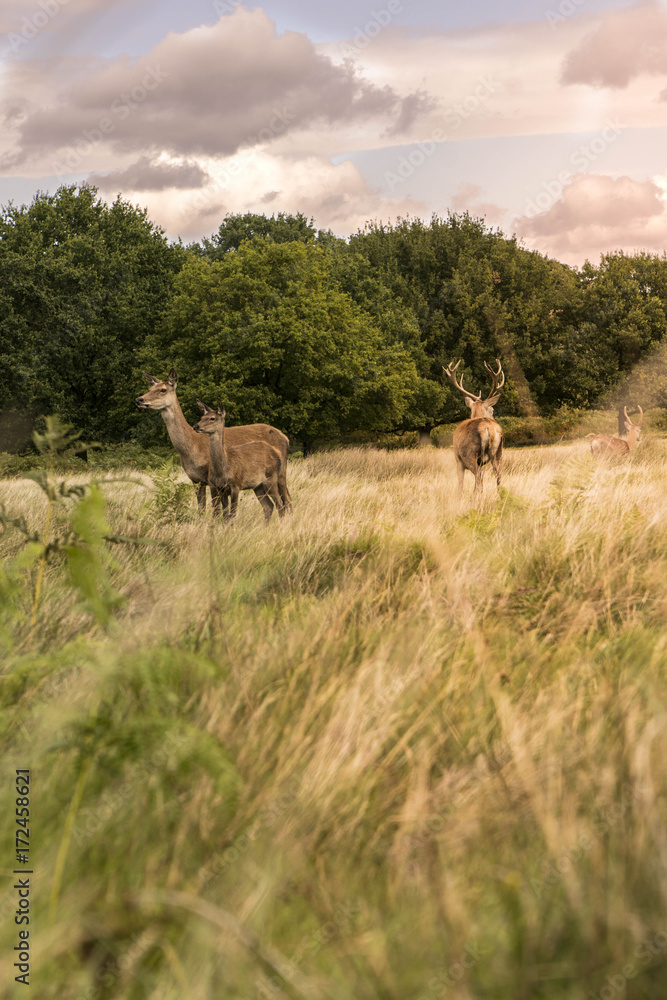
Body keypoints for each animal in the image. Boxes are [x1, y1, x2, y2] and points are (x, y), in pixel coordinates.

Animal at [135, 369, 292, 515]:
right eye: (150, 388)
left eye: (163, 389)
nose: (139, 399)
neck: (191, 449)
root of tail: (286, 438)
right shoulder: (195, 480)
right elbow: (202, 509)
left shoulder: (211, 479)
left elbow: (216, 510)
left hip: (280, 472)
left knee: (287, 500)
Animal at [442, 358, 505, 496]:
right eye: (492, 410)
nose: (493, 416)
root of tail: (488, 428)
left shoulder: (458, 460)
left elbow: (460, 484)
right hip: (498, 452)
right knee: (498, 477)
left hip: (469, 454)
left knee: (479, 478)